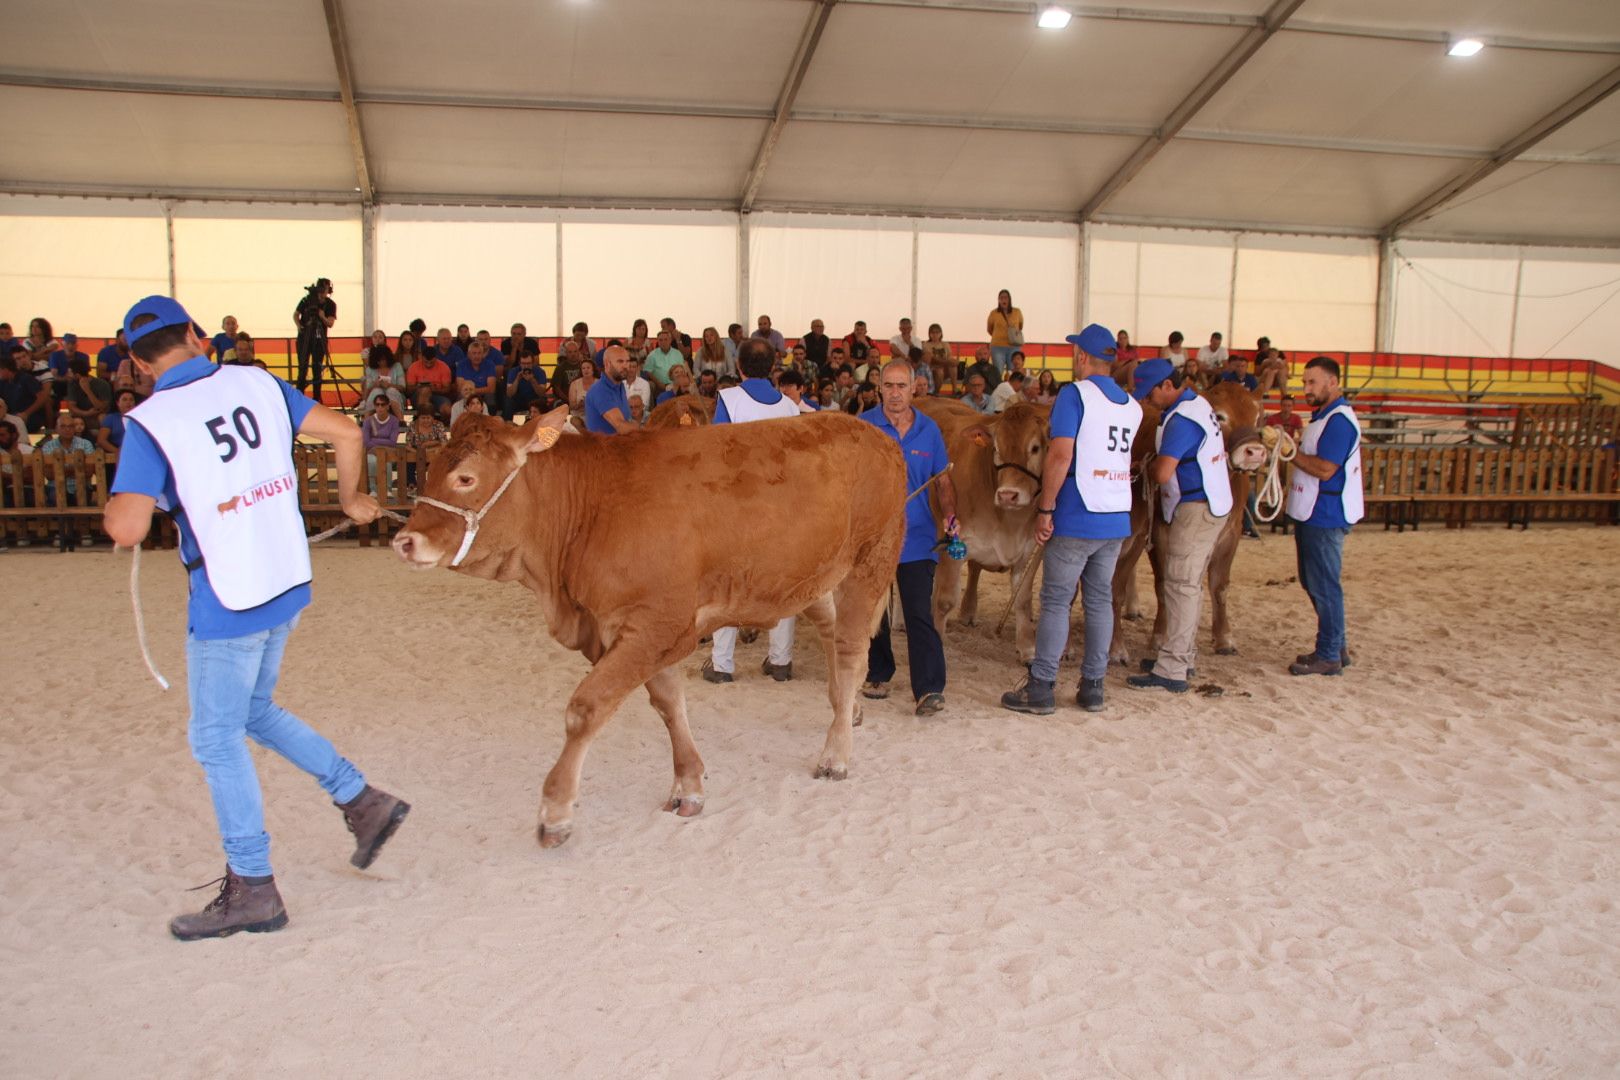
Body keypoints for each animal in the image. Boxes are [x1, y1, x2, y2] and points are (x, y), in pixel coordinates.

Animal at [387, 409, 907, 848]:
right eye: (429, 470)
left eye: (466, 477)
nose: (404, 540)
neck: (595, 507)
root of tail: (875, 433)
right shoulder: (631, 629)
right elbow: (668, 704)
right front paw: (689, 784)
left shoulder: (657, 623)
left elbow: (586, 709)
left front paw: (555, 812)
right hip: (813, 581)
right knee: (835, 637)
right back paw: (848, 710)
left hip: (870, 563)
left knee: (852, 651)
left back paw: (836, 753)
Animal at [913, 401, 1049, 663]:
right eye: (996, 448)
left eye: (1036, 448)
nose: (1008, 494)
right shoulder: (953, 542)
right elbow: (945, 600)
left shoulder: (1032, 549)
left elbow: (1023, 599)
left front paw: (1028, 649)